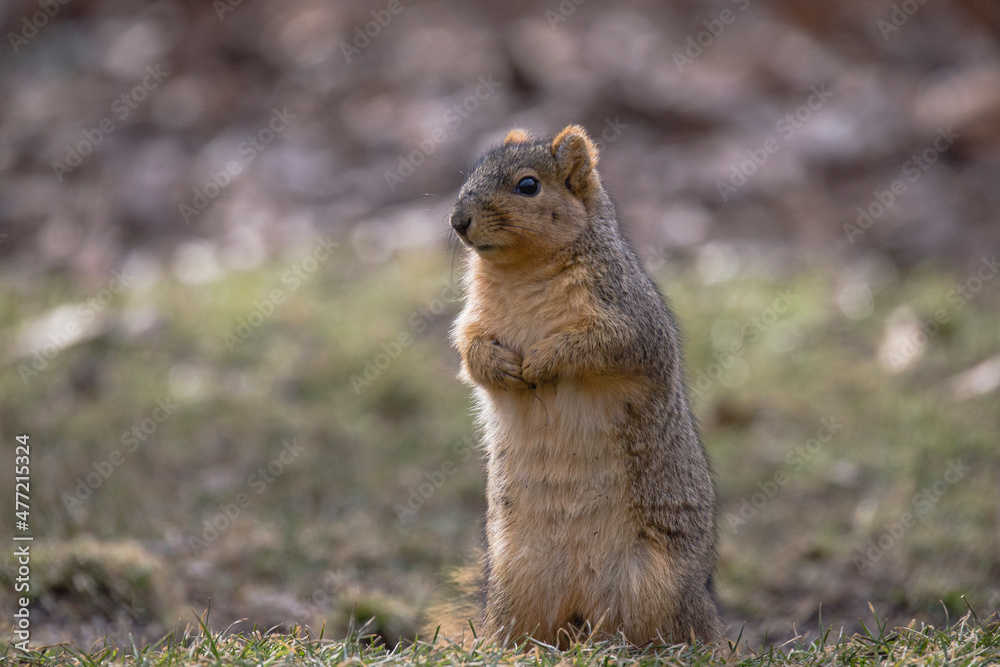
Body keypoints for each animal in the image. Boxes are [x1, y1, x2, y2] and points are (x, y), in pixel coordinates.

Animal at [437, 125, 721, 647]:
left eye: (528, 186)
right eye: (474, 171)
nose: (458, 221)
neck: (521, 272)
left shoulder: (627, 318)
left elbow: (599, 346)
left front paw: (544, 361)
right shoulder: (473, 319)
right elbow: (470, 352)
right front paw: (501, 366)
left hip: (655, 583)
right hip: (517, 583)